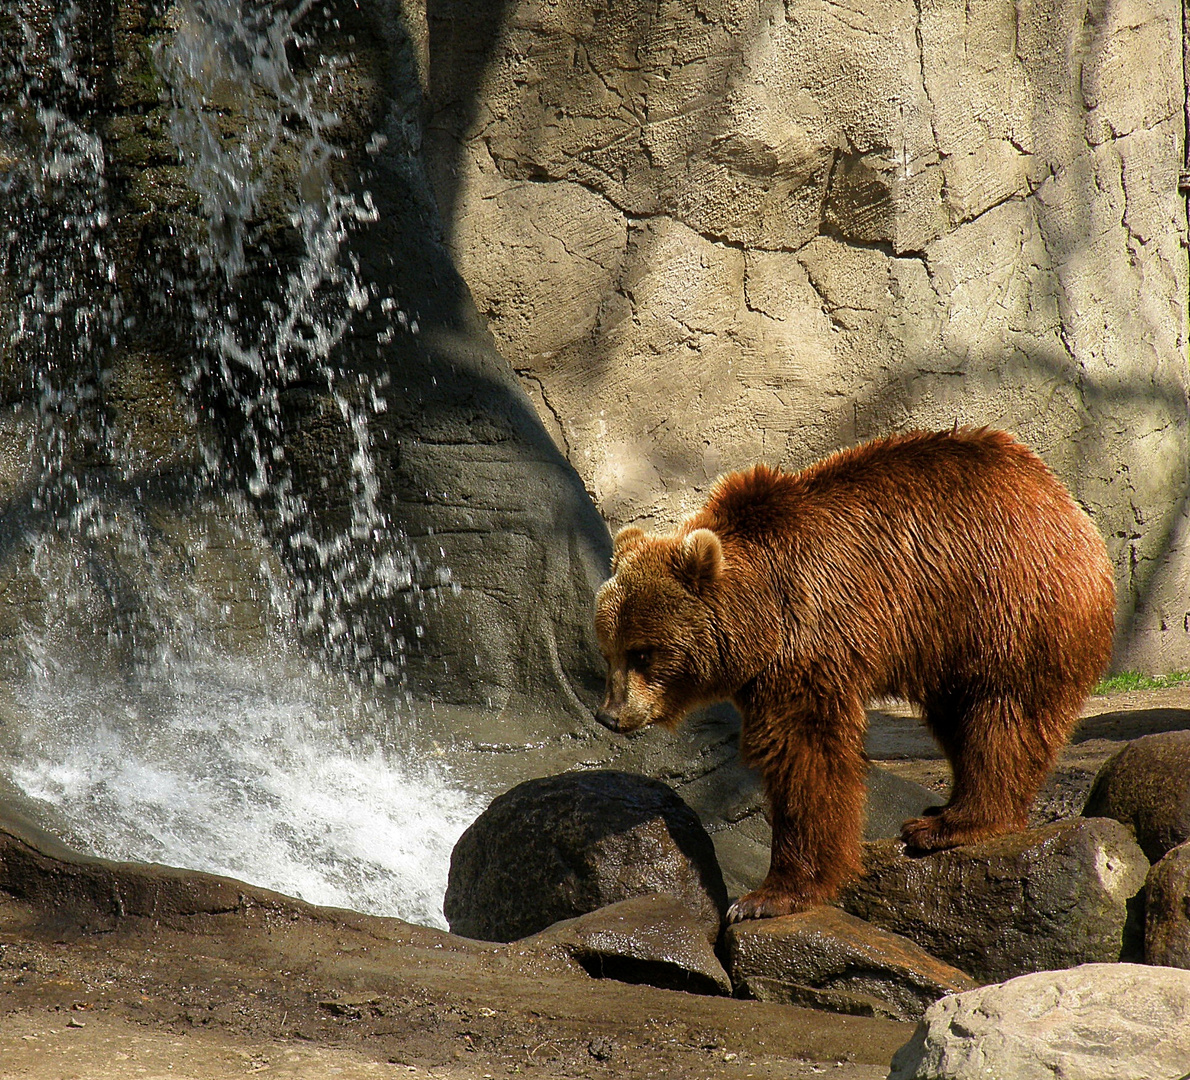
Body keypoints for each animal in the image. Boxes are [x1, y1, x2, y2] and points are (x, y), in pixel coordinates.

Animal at [595, 425, 1113, 922]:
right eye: (609, 651)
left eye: (643, 653)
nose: (610, 715)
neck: (761, 615)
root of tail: (1061, 497)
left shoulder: (812, 632)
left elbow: (805, 754)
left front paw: (769, 895)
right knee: (958, 719)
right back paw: (944, 807)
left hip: (1002, 603)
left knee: (1000, 715)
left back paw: (952, 823)